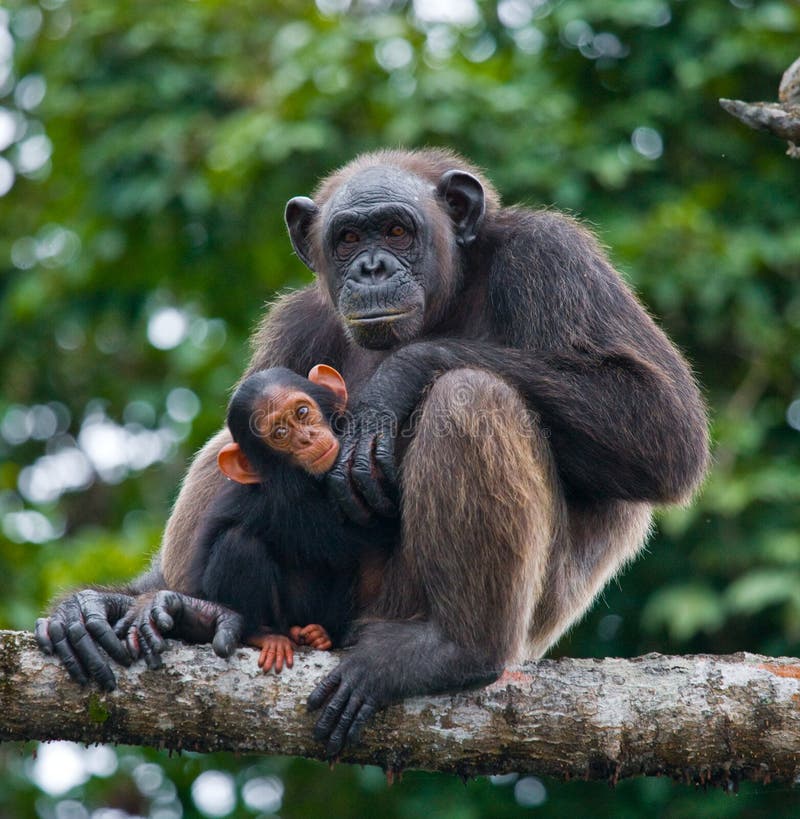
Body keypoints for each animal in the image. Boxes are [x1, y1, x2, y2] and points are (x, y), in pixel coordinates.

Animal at [191, 366, 396, 672]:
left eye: (301, 412)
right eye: (280, 433)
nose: (306, 438)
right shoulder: (287, 506)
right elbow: (363, 530)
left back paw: (322, 634)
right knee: (237, 543)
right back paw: (264, 634)